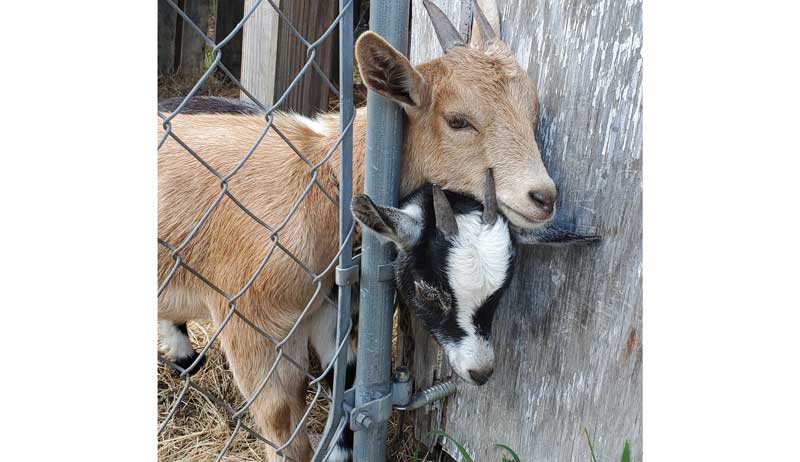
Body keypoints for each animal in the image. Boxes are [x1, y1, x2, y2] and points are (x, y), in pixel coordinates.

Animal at [158, 1, 564, 460]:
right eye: (458, 120)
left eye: (532, 109)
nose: (543, 197)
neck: (320, 179)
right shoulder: (250, 325)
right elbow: (281, 422)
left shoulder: (330, 311)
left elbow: (350, 381)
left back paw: (184, 356)